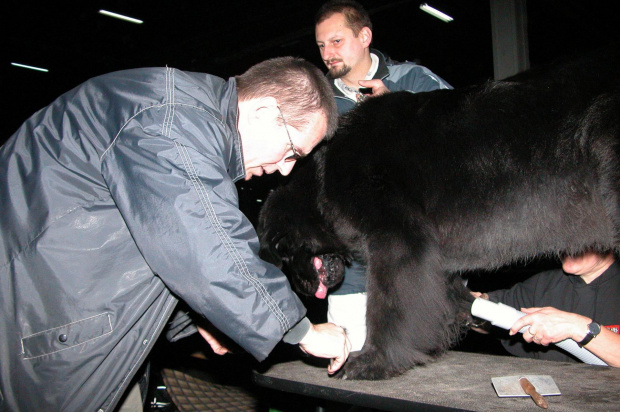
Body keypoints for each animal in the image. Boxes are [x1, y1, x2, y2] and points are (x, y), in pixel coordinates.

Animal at [258, 45, 620, 380]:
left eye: (282, 254)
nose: (304, 292)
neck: (324, 178)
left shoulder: (397, 242)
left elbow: (388, 304)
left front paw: (375, 360)